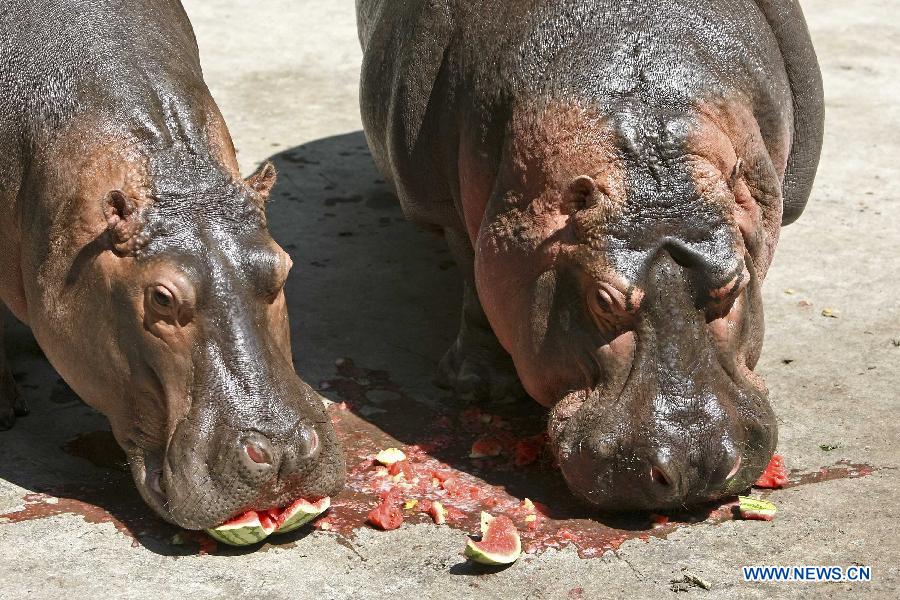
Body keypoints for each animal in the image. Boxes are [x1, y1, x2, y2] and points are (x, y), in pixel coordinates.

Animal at [356, 1, 824, 510]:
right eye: (602, 299)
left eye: (734, 284)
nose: (695, 464)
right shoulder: (445, 211)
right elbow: (476, 293)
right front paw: (478, 388)